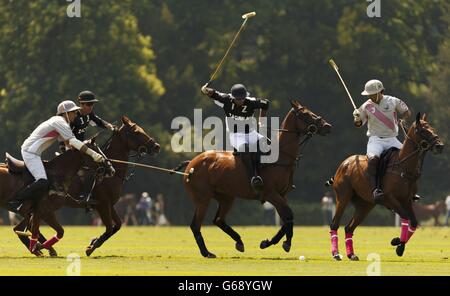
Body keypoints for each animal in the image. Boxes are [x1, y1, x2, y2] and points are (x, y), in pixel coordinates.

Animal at [13, 115, 161, 256]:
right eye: (137, 132)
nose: (157, 146)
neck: (112, 174)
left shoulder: (109, 204)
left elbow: (117, 225)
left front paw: (93, 241)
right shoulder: (102, 204)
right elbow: (109, 228)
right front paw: (91, 247)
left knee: (22, 227)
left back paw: (44, 248)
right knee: (27, 226)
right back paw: (42, 247)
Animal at [178, 100, 332, 258]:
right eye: (306, 114)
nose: (327, 126)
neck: (280, 157)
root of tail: (190, 164)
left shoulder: (282, 195)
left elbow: (287, 219)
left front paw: (270, 242)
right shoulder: (271, 194)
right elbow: (289, 216)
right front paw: (285, 243)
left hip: (226, 197)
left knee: (218, 220)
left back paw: (238, 242)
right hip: (203, 198)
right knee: (195, 225)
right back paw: (207, 252)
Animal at [328, 112, 444, 260]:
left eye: (432, 128)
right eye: (423, 131)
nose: (440, 146)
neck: (403, 168)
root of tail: (344, 163)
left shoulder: (407, 201)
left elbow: (413, 222)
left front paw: (399, 245)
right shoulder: (390, 198)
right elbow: (405, 217)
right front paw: (397, 243)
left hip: (365, 205)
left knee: (349, 227)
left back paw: (351, 254)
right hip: (343, 197)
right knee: (334, 224)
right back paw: (336, 254)